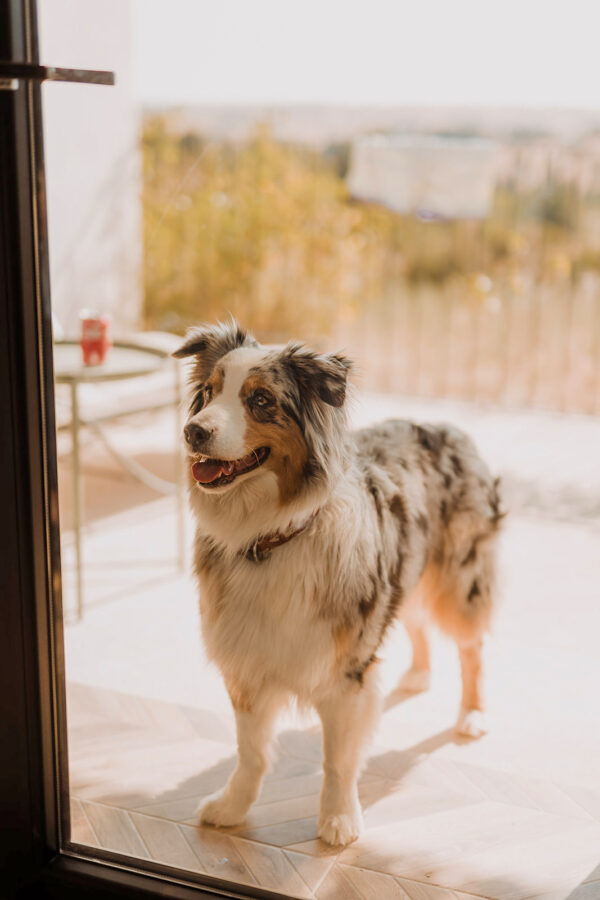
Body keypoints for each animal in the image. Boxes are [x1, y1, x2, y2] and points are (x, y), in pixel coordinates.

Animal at [172, 320, 502, 848]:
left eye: (260, 399)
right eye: (207, 393)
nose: (193, 431)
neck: (271, 535)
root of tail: (448, 427)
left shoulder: (346, 668)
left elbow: (339, 758)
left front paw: (339, 820)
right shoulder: (247, 661)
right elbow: (251, 752)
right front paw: (232, 806)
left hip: (459, 578)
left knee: (472, 647)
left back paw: (472, 714)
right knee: (416, 622)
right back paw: (418, 674)